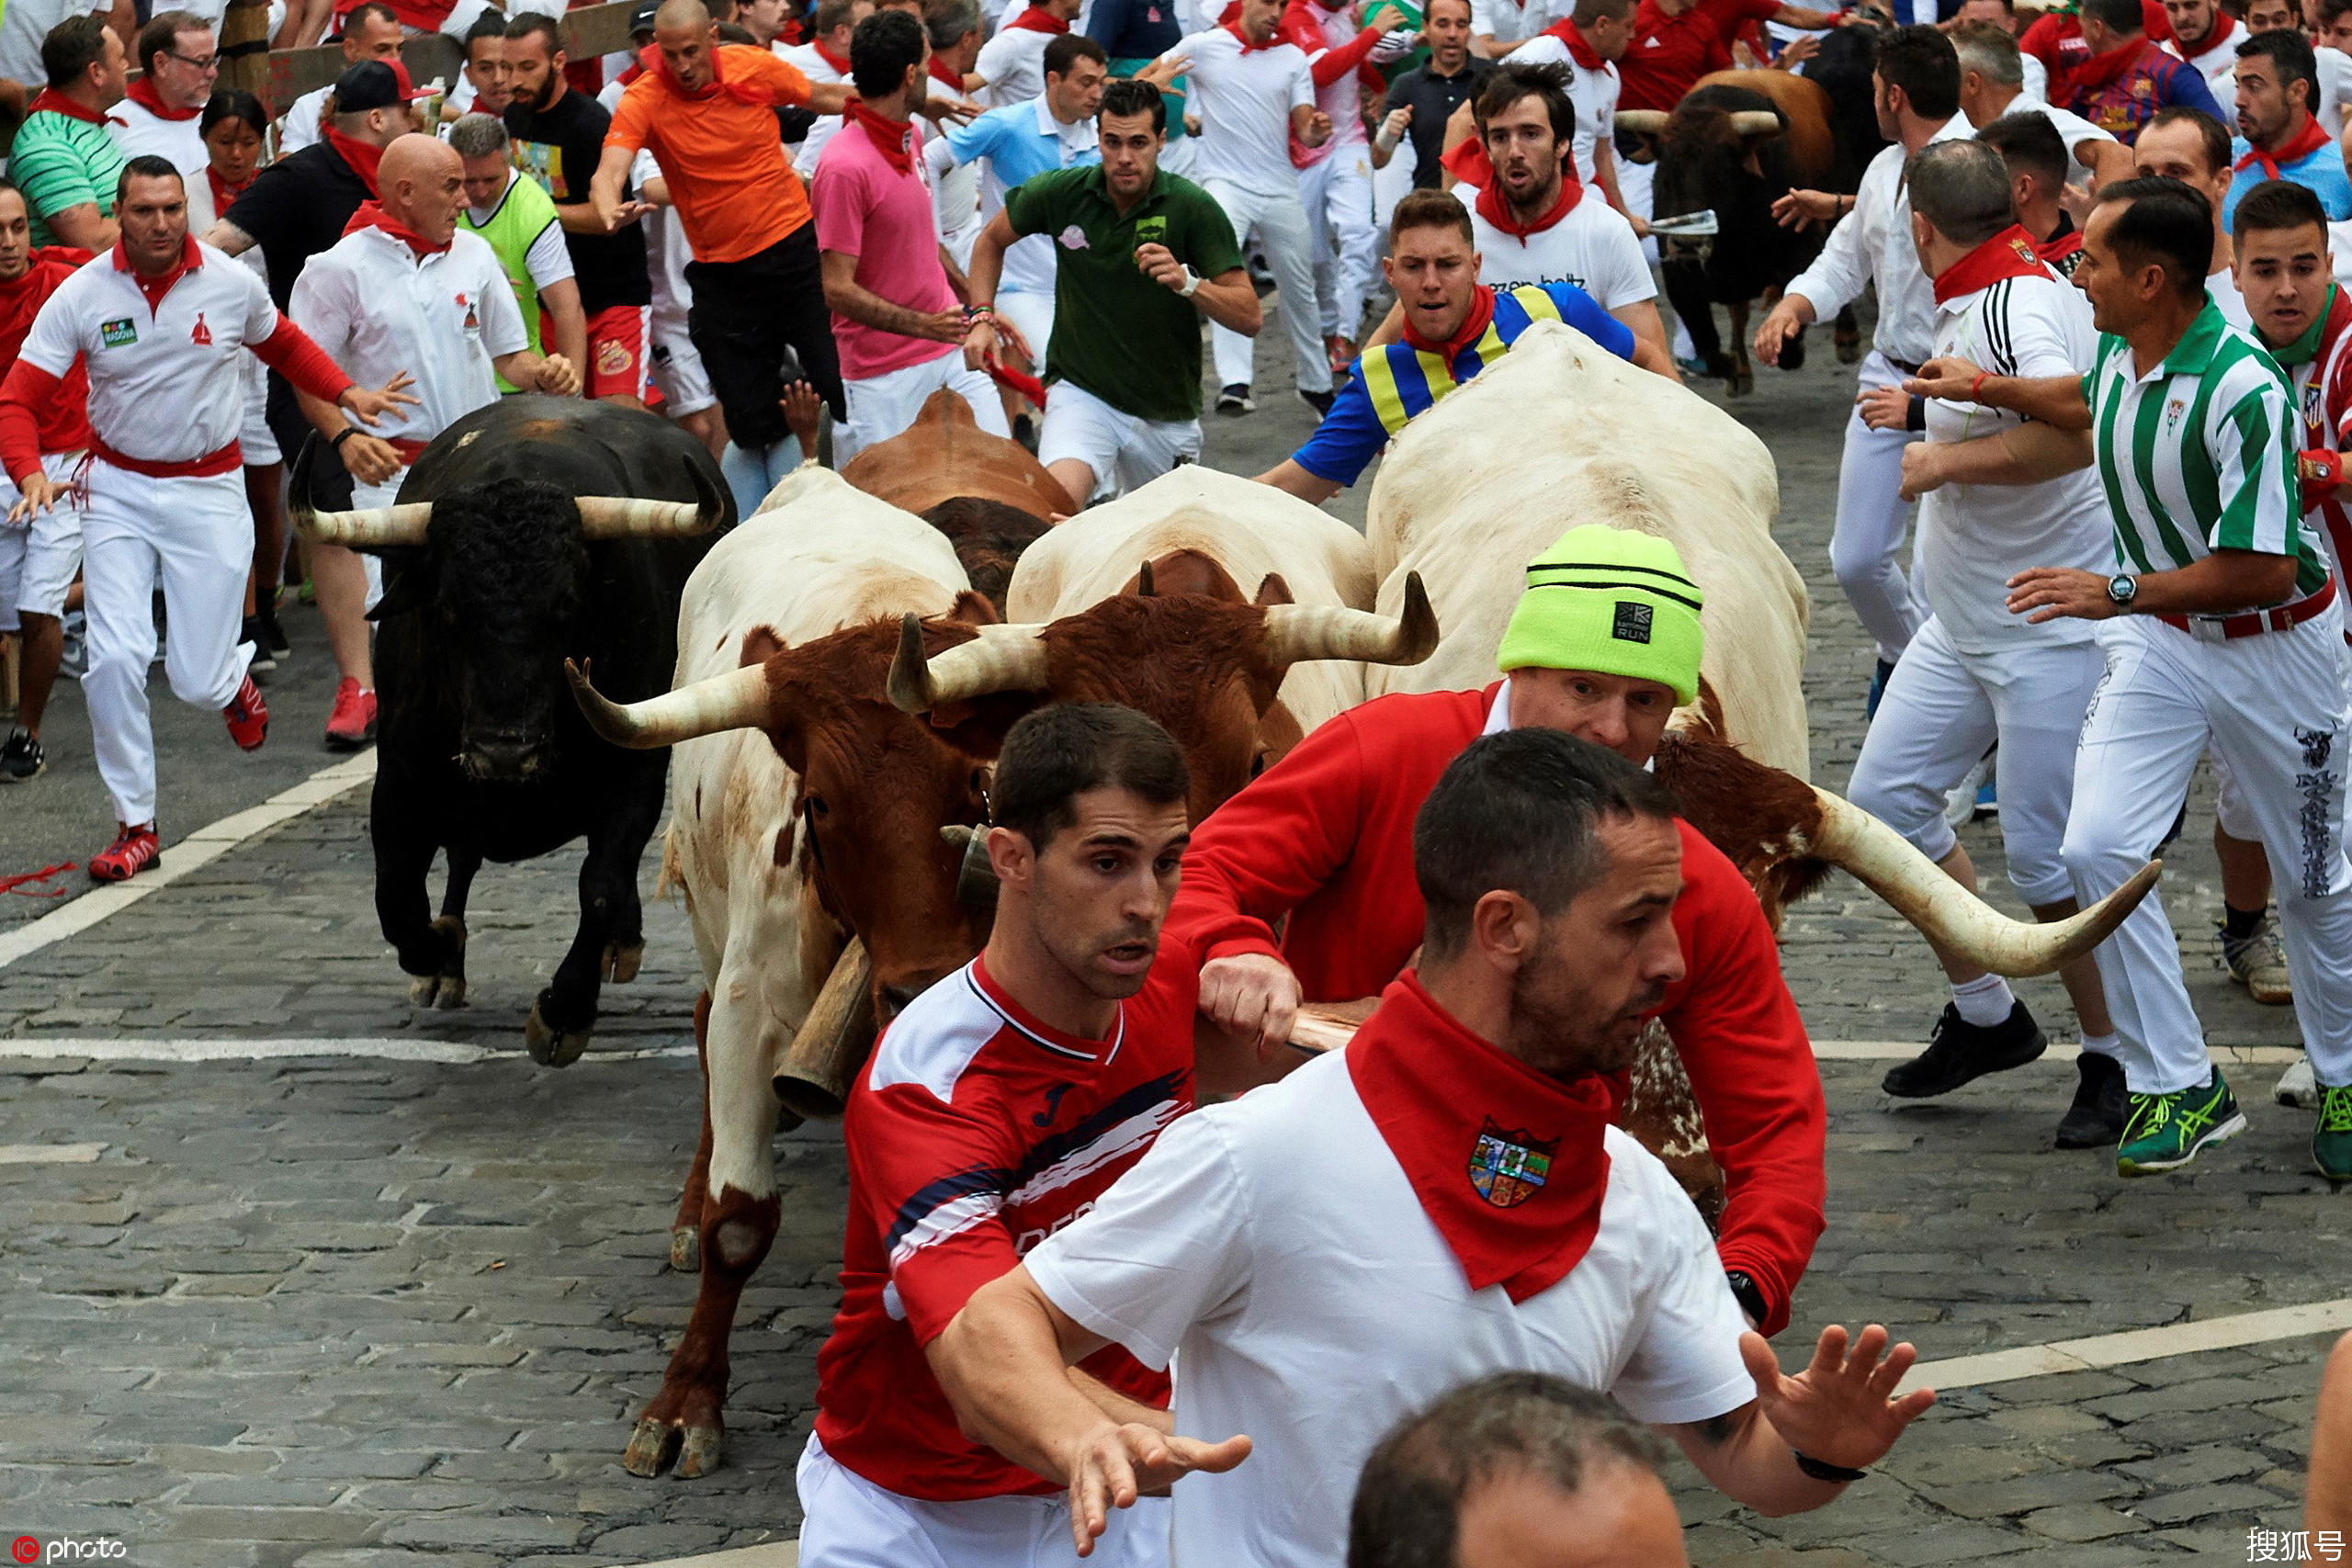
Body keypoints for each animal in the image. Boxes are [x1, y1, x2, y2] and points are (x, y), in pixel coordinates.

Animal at [296, 400, 733, 1072]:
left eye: (567, 606)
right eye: (447, 609)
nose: (506, 750)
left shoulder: (633, 773)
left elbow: (601, 886)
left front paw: (563, 1013)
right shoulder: (398, 782)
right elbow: (397, 901)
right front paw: (439, 948)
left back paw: (621, 943)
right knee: (461, 858)